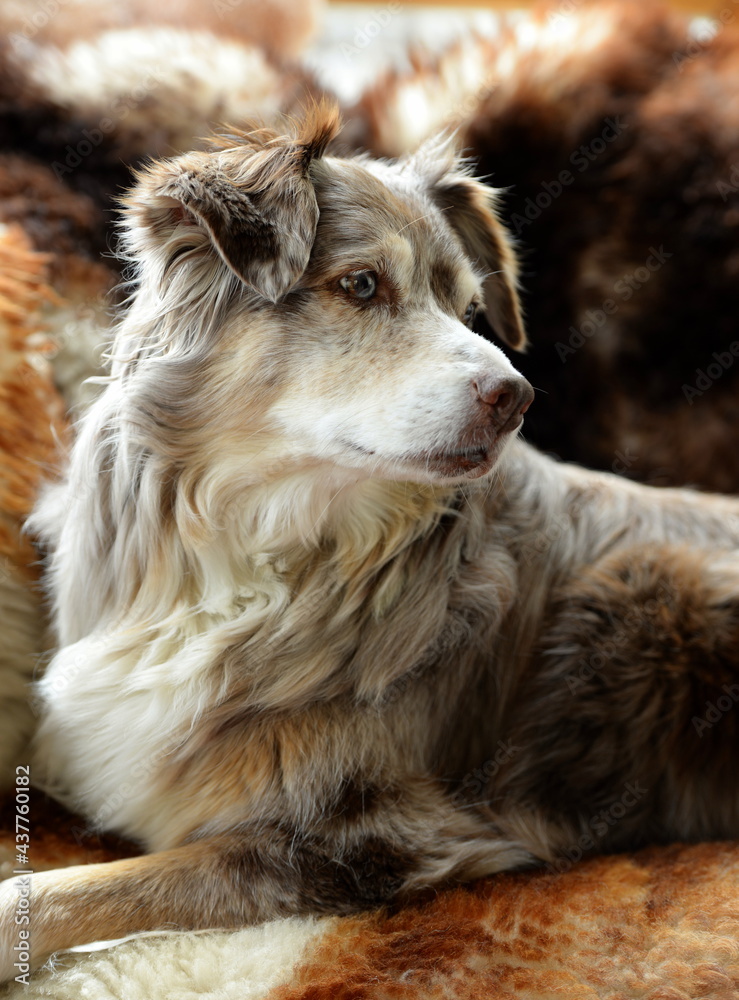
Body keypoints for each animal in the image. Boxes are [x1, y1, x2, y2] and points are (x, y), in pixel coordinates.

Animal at [1, 105, 739, 980]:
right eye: (361, 285)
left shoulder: (372, 841)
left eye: (466, 306)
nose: (516, 397)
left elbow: (80, 888)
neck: (261, 552)